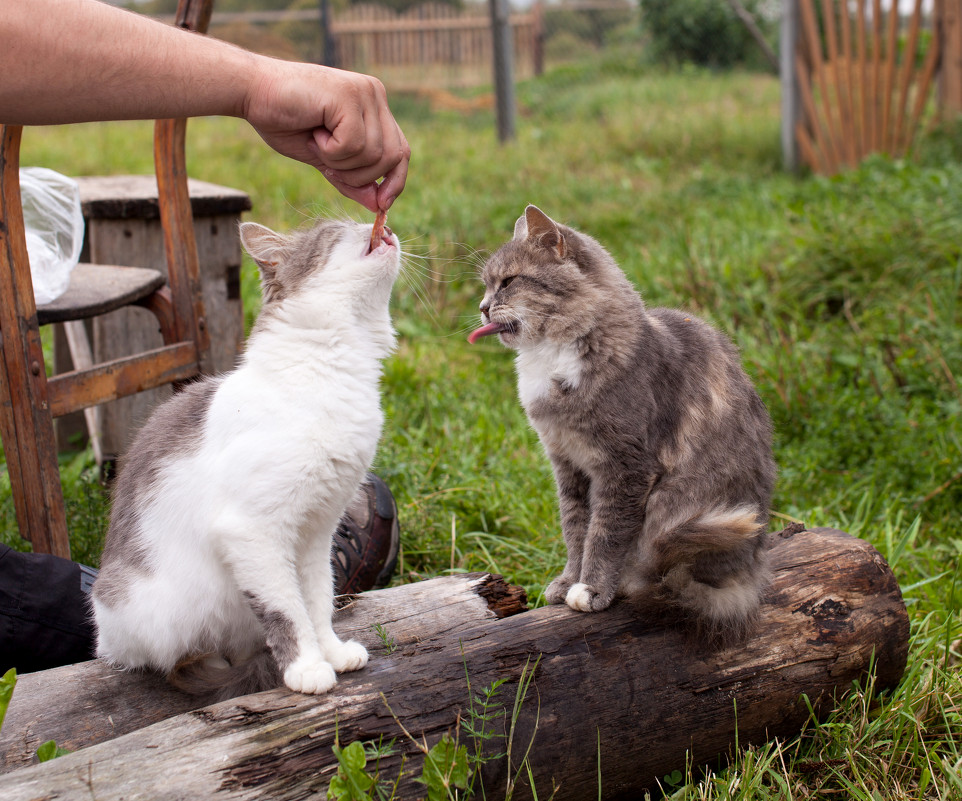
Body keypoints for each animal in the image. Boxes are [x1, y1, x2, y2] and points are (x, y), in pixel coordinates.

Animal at [92, 216, 400, 696]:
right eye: (336, 231)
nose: (376, 223)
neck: (327, 370)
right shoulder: (253, 531)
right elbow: (286, 609)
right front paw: (306, 667)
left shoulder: (317, 531)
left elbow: (318, 599)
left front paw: (331, 651)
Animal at [468, 208, 776, 644]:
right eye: (486, 285)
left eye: (508, 282)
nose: (481, 307)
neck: (553, 357)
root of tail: (744, 579)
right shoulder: (568, 466)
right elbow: (575, 531)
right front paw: (568, 581)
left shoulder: (625, 467)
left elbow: (605, 534)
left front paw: (591, 589)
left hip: (673, 508)